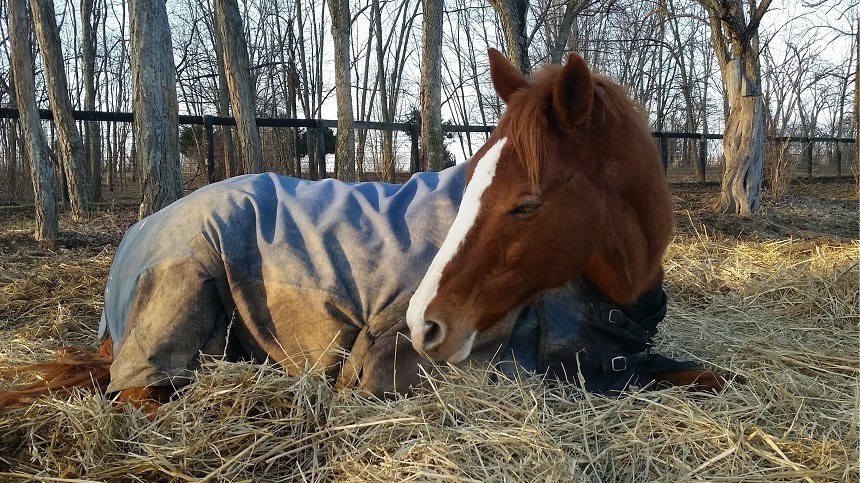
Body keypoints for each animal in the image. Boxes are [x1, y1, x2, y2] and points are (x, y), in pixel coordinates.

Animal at [0, 49, 724, 414]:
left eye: (525, 204)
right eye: (472, 184)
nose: (426, 322)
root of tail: (138, 234)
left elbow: (710, 376)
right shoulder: (388, 365)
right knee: (145, 397)